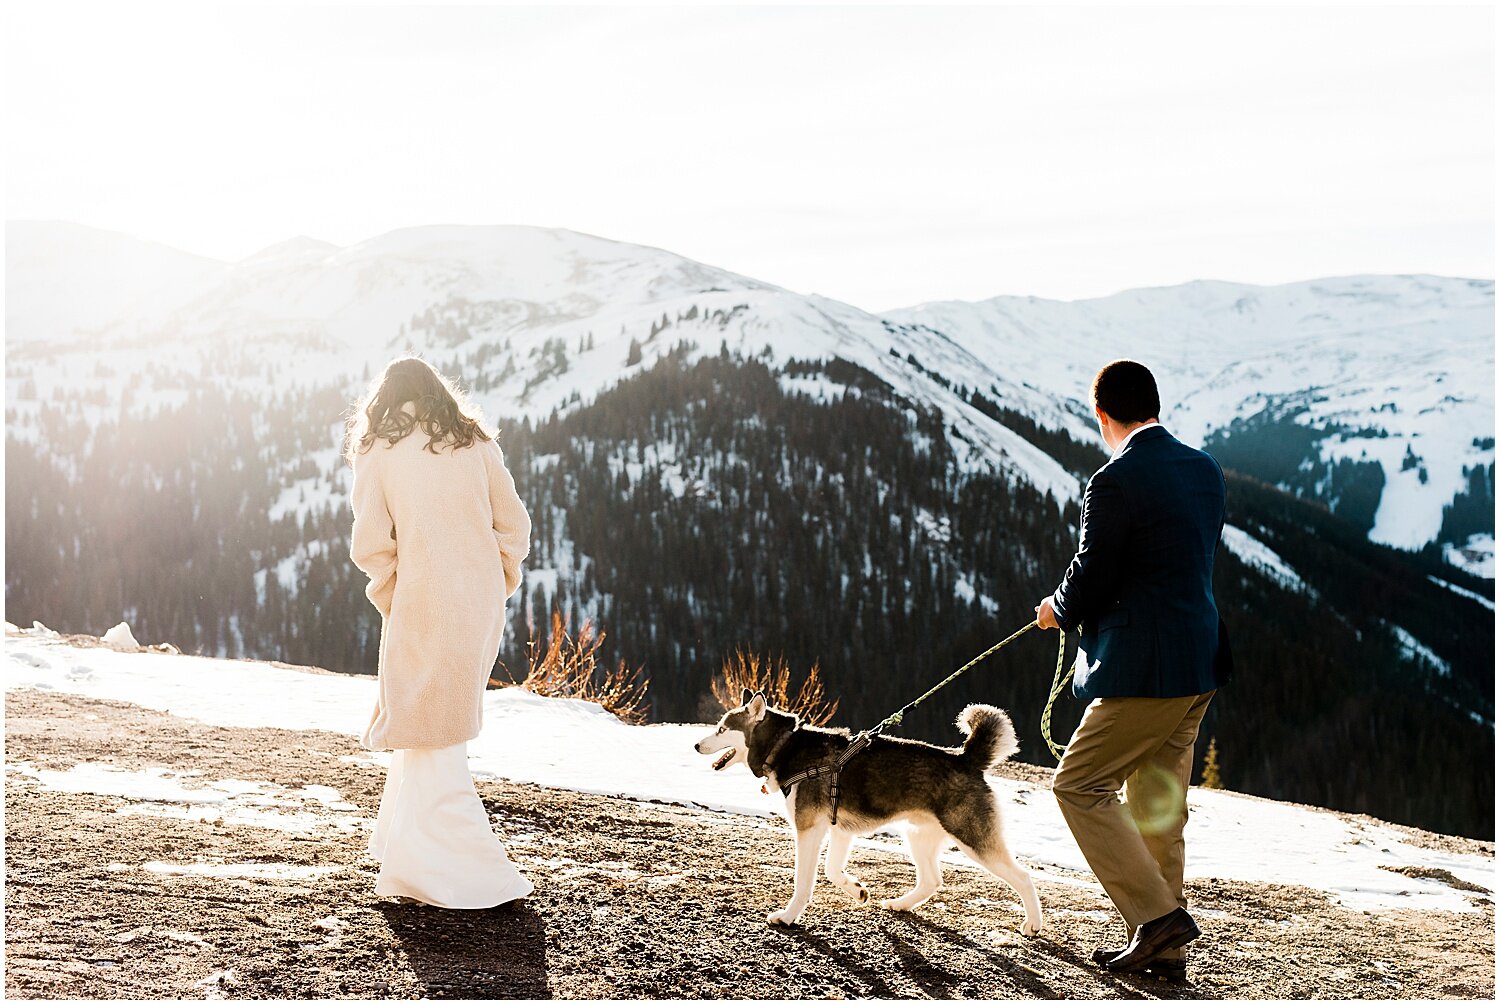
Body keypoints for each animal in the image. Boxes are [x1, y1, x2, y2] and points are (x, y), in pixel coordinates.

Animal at [693, 690, 1038, 936]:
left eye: (722, 729)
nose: (696, 745)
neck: (786, 746)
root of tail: (965, 758)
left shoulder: (808, 830)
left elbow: (803, 882)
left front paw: (789, 916)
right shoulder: (839, 829)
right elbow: (832, 871)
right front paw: (857, 890)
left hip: (973, 840)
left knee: (1023, 876)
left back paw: (1033, 923)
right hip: (917, 836)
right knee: (932, 880)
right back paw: (900, 904)